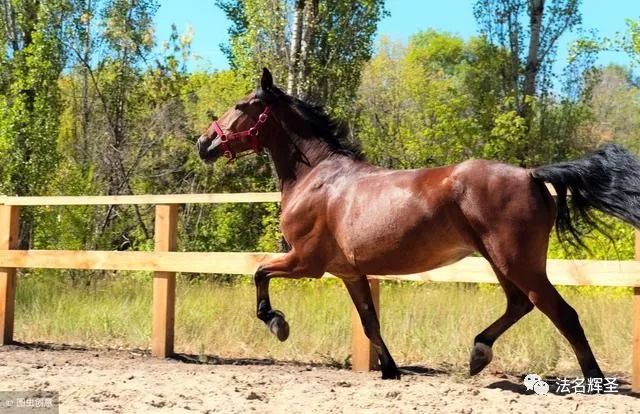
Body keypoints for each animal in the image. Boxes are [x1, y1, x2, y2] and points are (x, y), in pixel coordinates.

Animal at [195, 68, 640, 382]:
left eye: (243, 105)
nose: (204, 144)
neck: (316, 176)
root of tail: (532, 175)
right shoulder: (349, 272)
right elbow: (370, 322)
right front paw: (391, 370)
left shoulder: (306, 262)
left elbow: (259, 273)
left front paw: (278, 323)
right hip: (502, 262)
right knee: (520, 304)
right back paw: (478, 353)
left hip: (518, 262)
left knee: (562, 313)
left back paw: (593, 379)